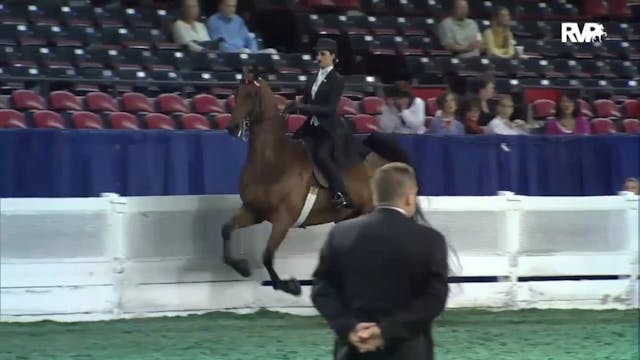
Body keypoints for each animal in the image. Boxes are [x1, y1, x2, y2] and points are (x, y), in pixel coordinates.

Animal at [220, 69, 424, 296]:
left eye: (252, 95)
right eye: (236, 93)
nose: (232, 127)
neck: (273, 162)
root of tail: (386, 162)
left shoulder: (283, 220)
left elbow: (267, 256)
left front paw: (291, 286)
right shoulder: (253, 211)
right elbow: (226, 230)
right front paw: (242, 267)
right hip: (349, 217)